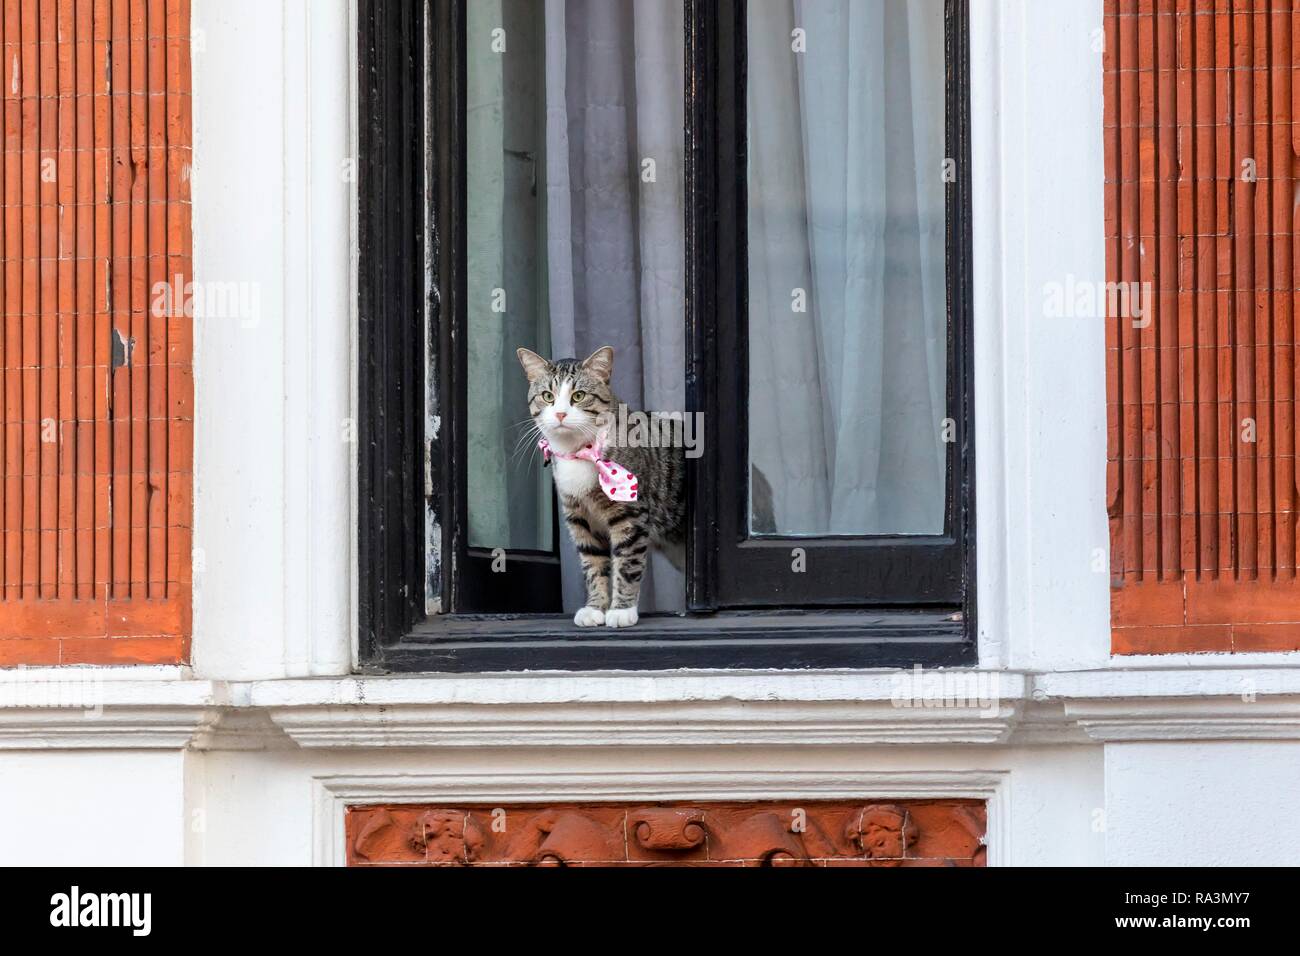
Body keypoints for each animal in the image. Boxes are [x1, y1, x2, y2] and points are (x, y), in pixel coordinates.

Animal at [517, 343, 686, 629]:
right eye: (548, 396)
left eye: (579, 395)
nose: (560, 413)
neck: (578, 452)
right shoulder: (579, 517)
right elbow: (593, 563)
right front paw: (595, 608)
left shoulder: (630, 515)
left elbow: (627, 564)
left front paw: (621, 610)